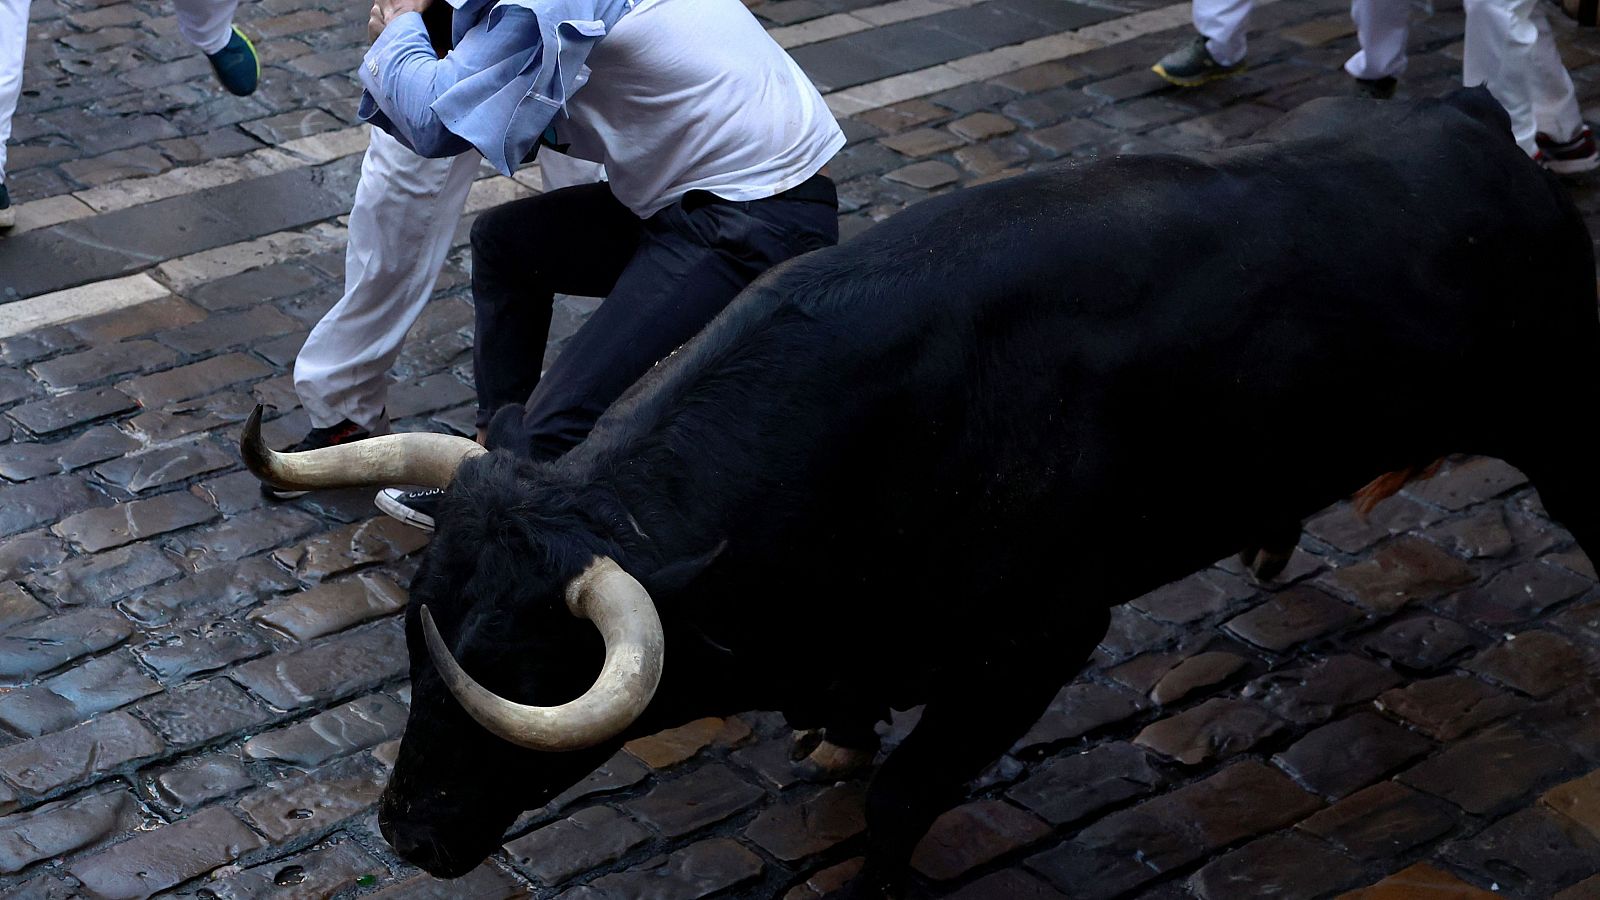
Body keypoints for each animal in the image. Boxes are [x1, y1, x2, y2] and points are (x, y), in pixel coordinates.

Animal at [294, 87, 1593, 890]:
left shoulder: (1040, 642)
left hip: (1559, 420)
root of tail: (1476, 120)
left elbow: (903, 800)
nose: (402, 832)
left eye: (517, 674)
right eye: (415, 650)